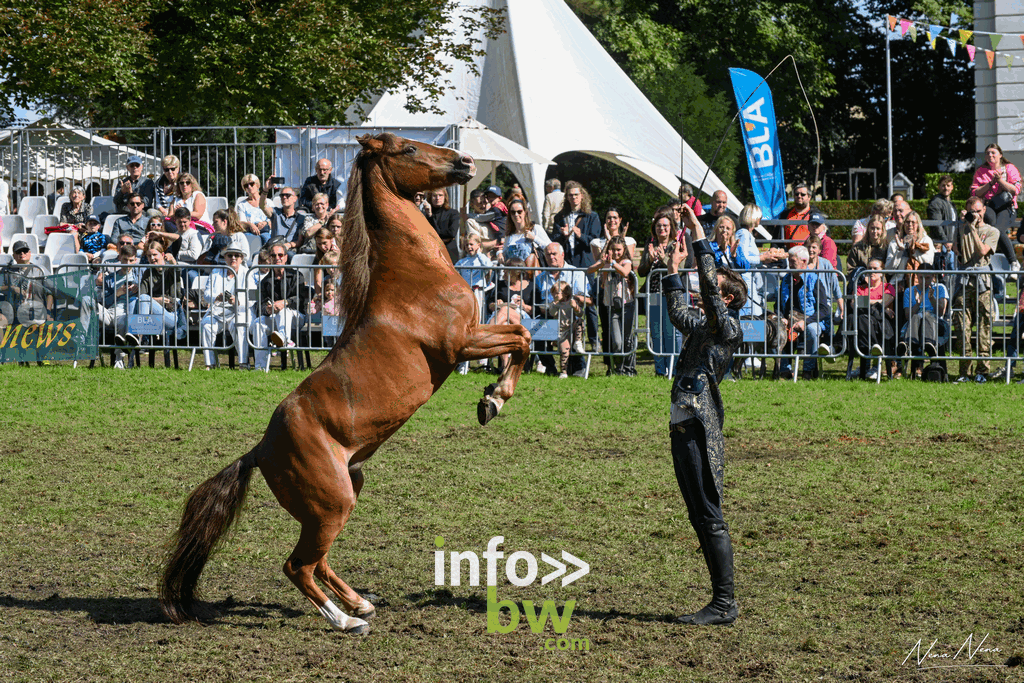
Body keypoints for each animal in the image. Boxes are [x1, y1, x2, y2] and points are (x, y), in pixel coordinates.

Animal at [161, 133, 528, 634]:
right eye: (408, 149)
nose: (466, 162)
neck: (417, 274)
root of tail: (259, 450)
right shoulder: (463, 343)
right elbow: (521, 338)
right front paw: (493, 401)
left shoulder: (473, 338)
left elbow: (521, 334)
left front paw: (492, 399)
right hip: (331, 504)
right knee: (297, 565)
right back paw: (346, 620)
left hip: (343, 495)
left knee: (317, 560)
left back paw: (360, 603)